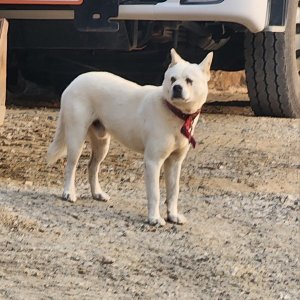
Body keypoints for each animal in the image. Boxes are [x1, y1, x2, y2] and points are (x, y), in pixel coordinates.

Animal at [47, 49, 213, 226]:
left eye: (189, 80)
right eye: (172, 79)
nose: (176, 88)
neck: (177, 113)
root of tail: (74, 81)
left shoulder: (175, 162)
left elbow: (173, 192)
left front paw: (173, 215)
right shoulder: (153, 162)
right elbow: (155, 193)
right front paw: (154, 218)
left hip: (102, 144)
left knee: (92, 166)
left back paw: (97, 193)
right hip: (76, 139)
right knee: (70, 166)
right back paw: (68, 193)